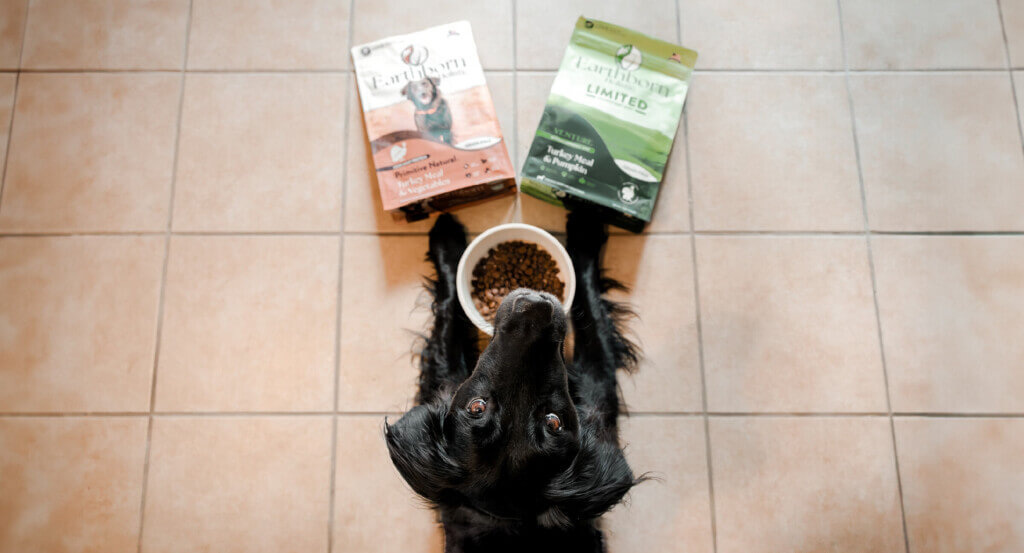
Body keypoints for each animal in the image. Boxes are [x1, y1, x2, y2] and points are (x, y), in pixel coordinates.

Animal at [385, 213, 638, 553]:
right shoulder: (598, 387)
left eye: (553, 423)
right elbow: (451, 309)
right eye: (476, 407)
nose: (536, 308)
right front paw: (448, 241)